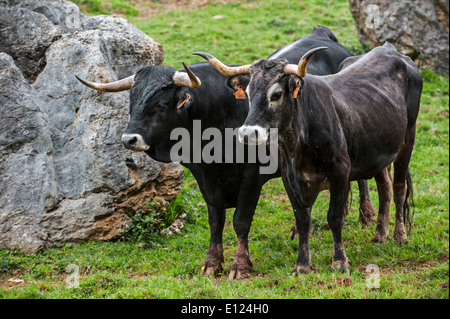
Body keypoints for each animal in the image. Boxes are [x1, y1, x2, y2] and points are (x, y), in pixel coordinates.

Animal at [75, 26, 378, 278]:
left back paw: (366, 214)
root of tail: (321, 33)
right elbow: (215, 221)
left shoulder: (251, 179)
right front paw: (212, 263)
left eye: (160, 105)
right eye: (131, 101)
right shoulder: (206, 179)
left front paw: (240, 265)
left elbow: (240, 222)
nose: (129, 139)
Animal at [201, 42, 422, 276]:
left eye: (276, 94)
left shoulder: (340, 173)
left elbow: (335, 217)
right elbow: (303, 221)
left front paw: (340, 261)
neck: (299, 141)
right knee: (385, 187)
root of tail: (390, 50)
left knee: (399, 187)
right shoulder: (290, 179)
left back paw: (399, 236)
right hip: (379, 150)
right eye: (249, 93)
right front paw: (302, 265)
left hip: (408, 139)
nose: (248, 133)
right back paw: (380, 234)